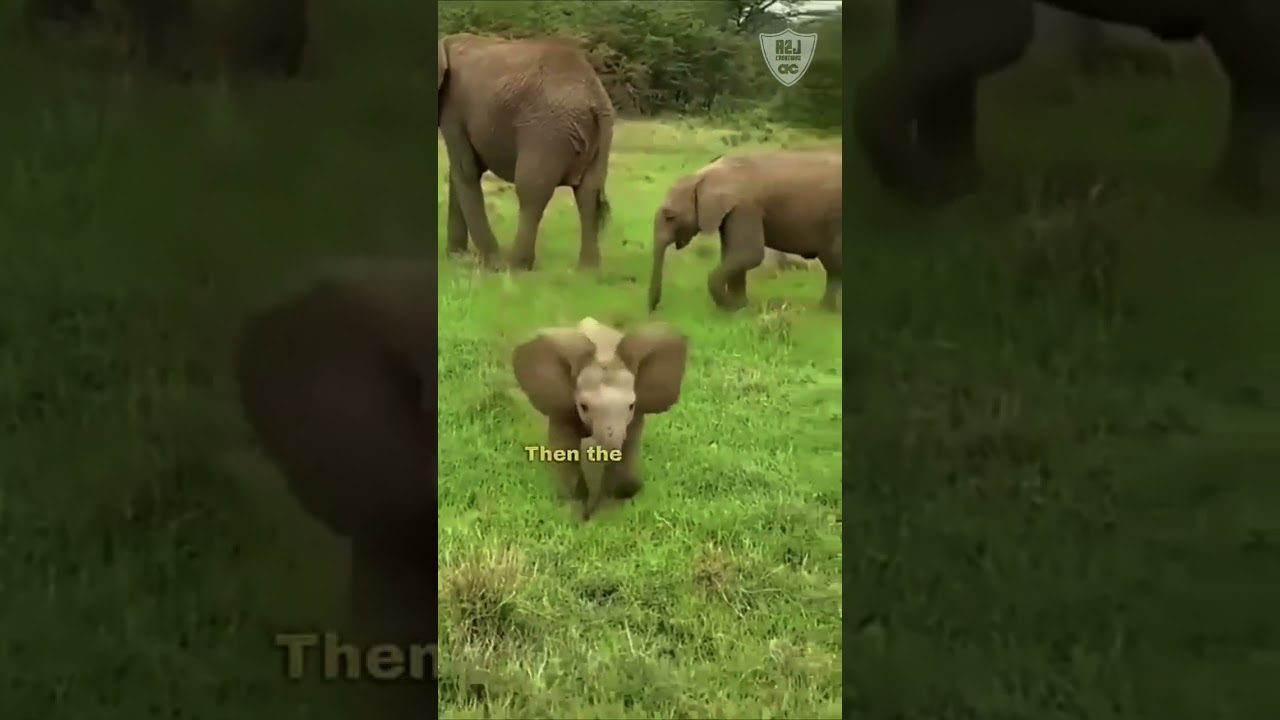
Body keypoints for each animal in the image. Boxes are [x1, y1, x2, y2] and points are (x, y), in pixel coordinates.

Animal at [438, 33, 615, 271]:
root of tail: (595, 97)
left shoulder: (454, 109)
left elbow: (465, 171)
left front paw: (490, 264)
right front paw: (456, 257)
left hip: (547, 131)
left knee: (531, 190)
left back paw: (515, 267)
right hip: (598, 137)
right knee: (589, 192)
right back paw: (587, 272)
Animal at [512, 317, 689, 521]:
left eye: (631, 406)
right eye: (583, 406)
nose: (633, 488)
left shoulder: (636, 415)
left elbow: (627, 448)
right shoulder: (562, 408)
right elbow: (565, 450)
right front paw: (574, 513)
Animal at [648, 150, 843, 313]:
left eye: (670, 217)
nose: (654, 309)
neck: (704, 175)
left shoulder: (745, 208)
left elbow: (748, 255)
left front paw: (732, 307)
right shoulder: (731, 213)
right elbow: (732, 255)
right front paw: (741, 307)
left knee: (834, 263)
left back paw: (827, 311)